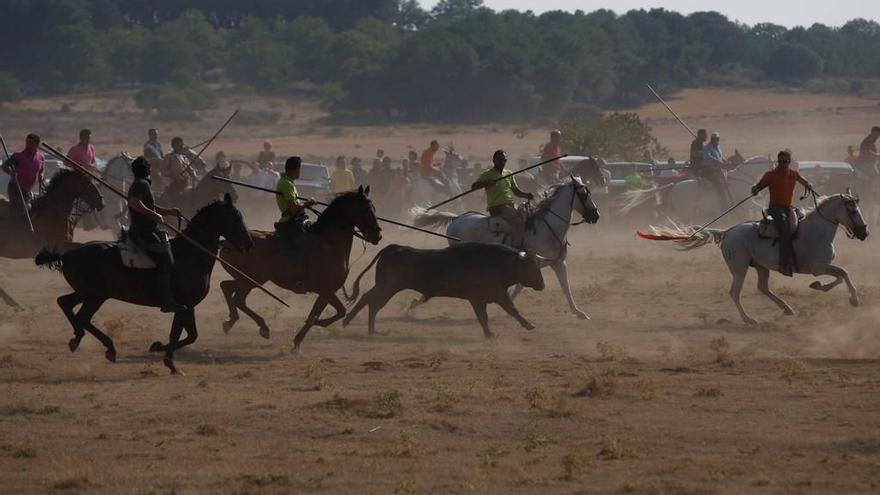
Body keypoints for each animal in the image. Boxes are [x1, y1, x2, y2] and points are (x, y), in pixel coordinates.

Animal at [36, 196, 253, 374]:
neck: (191, 254)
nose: (249, 243)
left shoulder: (189, 305)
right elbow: (177, 334)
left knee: (65, 304)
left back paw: (87, 340)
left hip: (86, 294)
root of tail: (67, 254)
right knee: (82, 317)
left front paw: (158, 348)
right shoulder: (182, 305)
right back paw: (94, 343)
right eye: (235, 217)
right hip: (95, 297)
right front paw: (170, 362)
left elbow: (191, 335)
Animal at [217, 187, 382, 352]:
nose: (378, 235)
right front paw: (305, 334)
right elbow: (330, 313)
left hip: (247, 279)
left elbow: (326, 313)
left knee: (226, 287)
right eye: (366, 209)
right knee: (238, 299)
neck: (329, 243)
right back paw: (262, 327)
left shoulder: (326, 292)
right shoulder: (326, 290)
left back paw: (231, 321)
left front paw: (300, 338)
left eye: (374, 208)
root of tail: (227, 242)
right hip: (251, 280)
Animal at [342, 243, 544, 340]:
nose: (542, 285)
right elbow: (509, 308)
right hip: (388, 286)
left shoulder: (484, 297)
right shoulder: (489, 295)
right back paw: (363, 327)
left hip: (386, 286)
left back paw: (366, 328)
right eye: (531, 266)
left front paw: (489, 333)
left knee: (369, 299)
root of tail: (395, 248)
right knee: (373, 301)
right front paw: (528, 325)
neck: (497, 261)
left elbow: (487, 315)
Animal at [412, 176, 600, 320]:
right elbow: (520, 286)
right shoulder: (533, 263)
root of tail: (456, 218)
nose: (596, 215)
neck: (547, 227)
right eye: (584, 194)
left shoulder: (559, 263)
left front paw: (579, 313)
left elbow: (566, 287)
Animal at [644, 194, 868, 326]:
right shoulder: (818, 267)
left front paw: (820, 287)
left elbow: (840, 276)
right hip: (739, 269)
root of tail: (727, 232)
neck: (817, 231)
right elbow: (843, 273)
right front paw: (853, 299)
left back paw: (787, 308)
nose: (864, 232)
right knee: (735, 292)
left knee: (763, 288)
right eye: (853, 210)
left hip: (761, 267)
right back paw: (749, 319)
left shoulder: (822, 267)